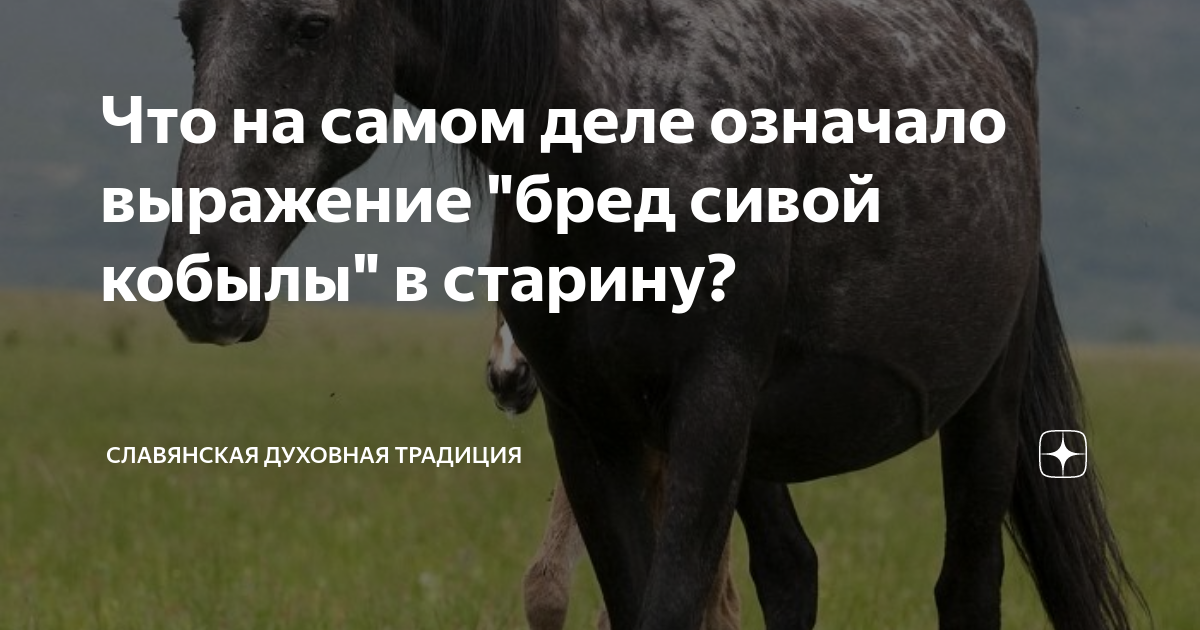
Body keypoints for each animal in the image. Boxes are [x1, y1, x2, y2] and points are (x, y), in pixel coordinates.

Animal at [159, 1, 1147, 629]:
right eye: (187, 21)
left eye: (311, 24)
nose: (202, 278)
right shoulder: (590, 423)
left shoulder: (709, 401)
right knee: (792, 570)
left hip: (983, 407)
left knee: (964, 588)